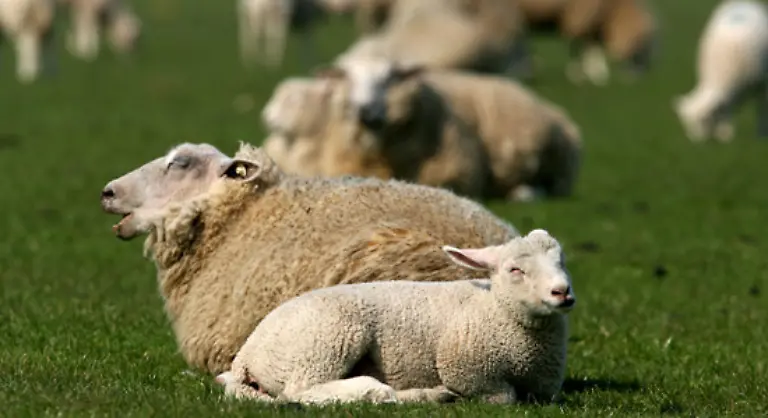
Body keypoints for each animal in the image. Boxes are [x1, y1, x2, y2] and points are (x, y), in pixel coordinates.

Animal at [216, 228, 575, 405]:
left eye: (562, 261)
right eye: (515, 270)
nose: (563, 292)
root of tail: (246, 353)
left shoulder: (545, 386)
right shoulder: (466, 369)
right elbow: (504, 398)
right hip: (326, 341)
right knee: (302, 392)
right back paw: (397, 393)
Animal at [516, 0, 658, 85]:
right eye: (644, 42)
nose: (635, 77)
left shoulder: (592, 19)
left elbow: (592, 45)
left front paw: (596, 72)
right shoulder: (580, 15)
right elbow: (579, 45)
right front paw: (579, 74)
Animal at [673, 0, 768, 143]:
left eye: (704, 120)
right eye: (687, 123)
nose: (696, 142)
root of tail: (743, 2)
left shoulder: (763, 85)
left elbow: (761, 110)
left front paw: (760, 135)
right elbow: (725, 110)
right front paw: (724, 134)